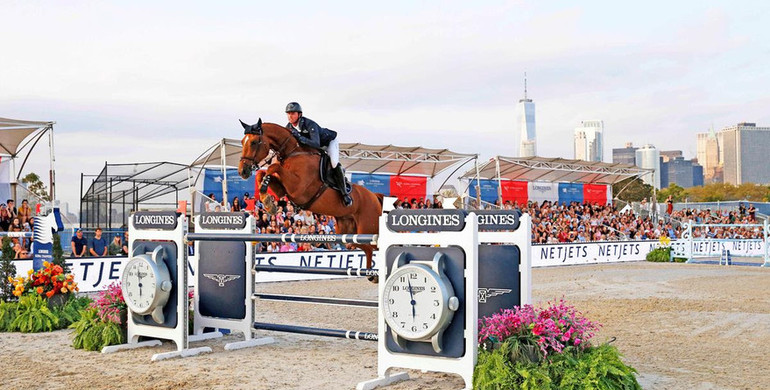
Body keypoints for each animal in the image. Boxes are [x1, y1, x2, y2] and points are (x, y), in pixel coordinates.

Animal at [238, 119, 382, 278]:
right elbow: (262, 174)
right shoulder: (284, 189)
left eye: (254, 142)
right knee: (366, 247)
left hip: (368, 227)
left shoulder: (298, 189)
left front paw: (266, 196)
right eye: (242, 142)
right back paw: (372, 275)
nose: (242, 171)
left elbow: (273, 167)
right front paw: (268, 201)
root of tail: (374, 196)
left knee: (373, 246)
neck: (293, 153)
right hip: (347, 231)